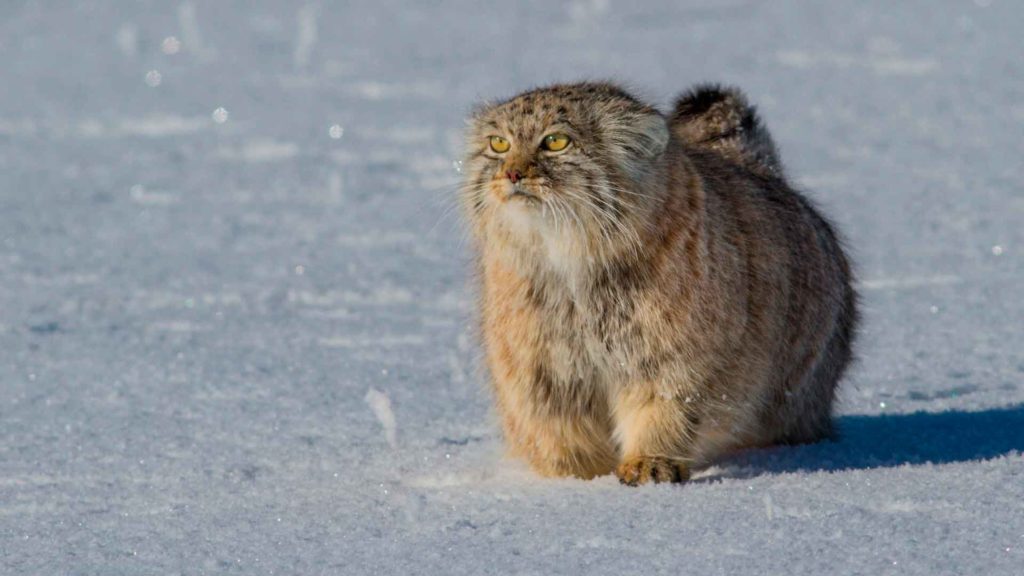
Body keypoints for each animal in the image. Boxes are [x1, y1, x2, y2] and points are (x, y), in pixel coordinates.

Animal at [458, 81, 856, 483]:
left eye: (556, 142)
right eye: (498, 144)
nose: (511, 174)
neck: (572, 271)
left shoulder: (675, 356)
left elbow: (666, 407)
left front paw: (650, 463)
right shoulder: (540, 370)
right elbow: (557, 431)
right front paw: (576, 479)